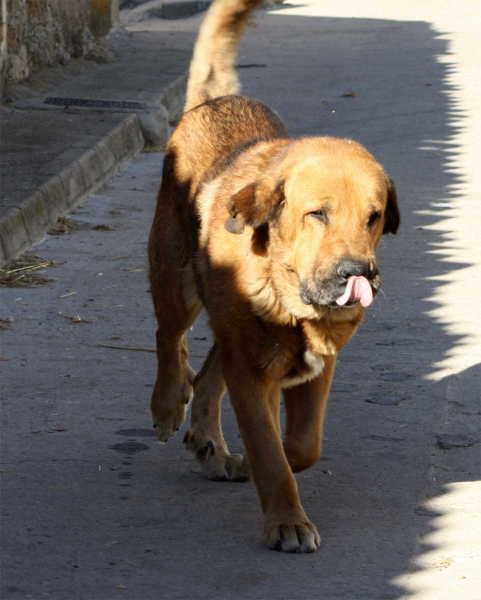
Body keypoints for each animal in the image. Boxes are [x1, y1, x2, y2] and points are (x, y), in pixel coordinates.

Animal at [148, 0, 400, 552]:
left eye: (373, 217)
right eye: (317, 214)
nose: (358, 274)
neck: (288, 296)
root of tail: (215, 101)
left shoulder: (316, 368)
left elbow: (303, 446)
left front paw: (288, 454)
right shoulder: (252, 374)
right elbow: (270, 454)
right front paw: (286, 521)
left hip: (229, 330)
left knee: (209, 372)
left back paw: (210, 444)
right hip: (175, 281)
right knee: (170, 340)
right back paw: (167, 404)